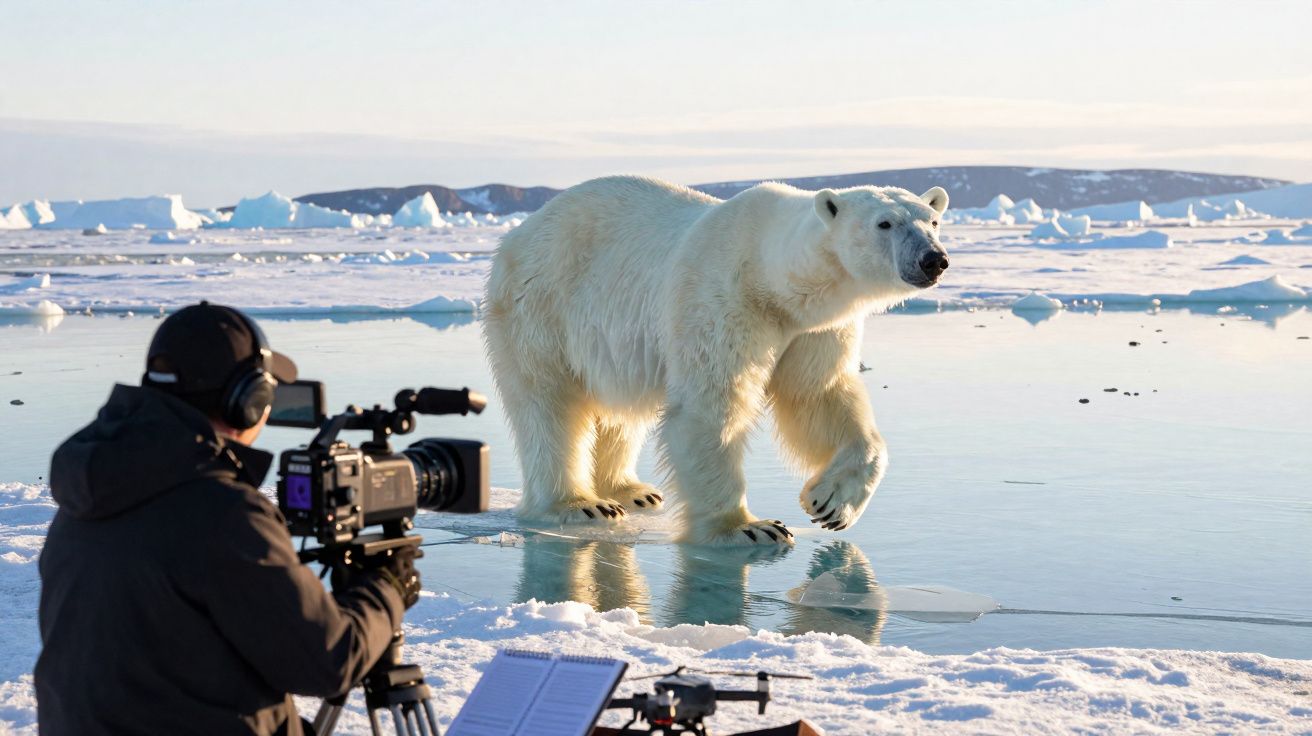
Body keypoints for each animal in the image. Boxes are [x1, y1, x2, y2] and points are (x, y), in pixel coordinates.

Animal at [484, 175, 949, 545]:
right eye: (884, 223)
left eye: (932, 220)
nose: (934, 260)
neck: (775, 282)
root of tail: (518, 234)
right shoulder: (724, 301)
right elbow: (712, 408)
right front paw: (749, 528)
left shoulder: (815, 329)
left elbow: (818, 396)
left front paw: (831, 504)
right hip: (541, 305)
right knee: (550, 404)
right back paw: (578, 504)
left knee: (622, 410)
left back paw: (630, 490)